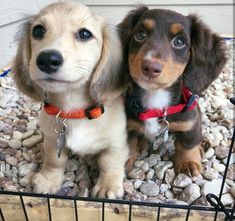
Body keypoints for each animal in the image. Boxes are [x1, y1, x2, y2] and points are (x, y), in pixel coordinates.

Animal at [120, 6, 227, 177]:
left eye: (179, 42)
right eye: (140, 34)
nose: (150, 67)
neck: (156, 98)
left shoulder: (190, 121)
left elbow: (188, 143)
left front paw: (188, 162)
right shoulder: (127, 124)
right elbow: (129, 143)